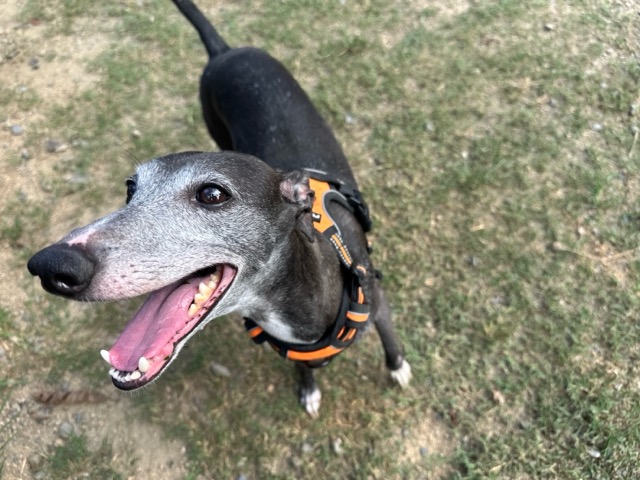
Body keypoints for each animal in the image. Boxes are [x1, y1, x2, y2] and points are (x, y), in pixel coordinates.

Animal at [27, 0, 411, 417]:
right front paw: (308, 389)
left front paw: (397, 366)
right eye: (131, 188)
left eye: (212, 194)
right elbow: (303, 367)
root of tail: (224, 50)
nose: (51, 266)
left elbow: (390, 337)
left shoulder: (379, 302)